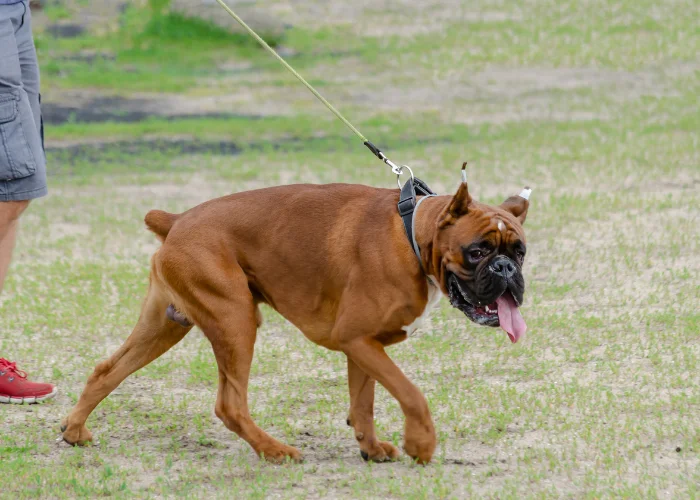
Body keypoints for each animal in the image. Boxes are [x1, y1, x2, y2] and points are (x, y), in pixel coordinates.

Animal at [61, 177, 532, 464]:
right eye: (476, 251)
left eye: (520, 250)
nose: (506, 269)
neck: (413, 234)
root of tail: (176, 221)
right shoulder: (357, 340)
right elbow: (410, 393)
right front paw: (421, 443)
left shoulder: (364, 345)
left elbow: (363, 402)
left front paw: (371, 447)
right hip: (235, 319)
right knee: (230, 404)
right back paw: (274, 451)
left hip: (165, 326)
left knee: (107, 370)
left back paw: (74, 430)